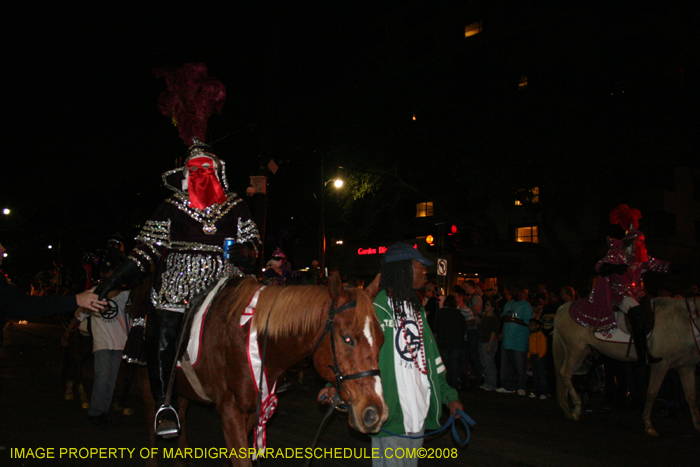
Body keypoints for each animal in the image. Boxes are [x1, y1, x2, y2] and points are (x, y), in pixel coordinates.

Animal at [146, 272, 388, 466]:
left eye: (381, 340)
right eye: (347, 338)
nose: (374, 413)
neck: (247, 336)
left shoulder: (253, 409)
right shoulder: (229, 408)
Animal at [552, 298, 700, 436]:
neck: (681, 322)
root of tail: (562, 308)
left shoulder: (686, 368)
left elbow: (691, 397)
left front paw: (697, 425)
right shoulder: (660, 365)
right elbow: (652, 393)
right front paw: (648, 425)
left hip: (582, 352)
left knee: (564, 374)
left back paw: (567, 409)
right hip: (575, 351)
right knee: (564, 373)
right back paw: (576, 408)